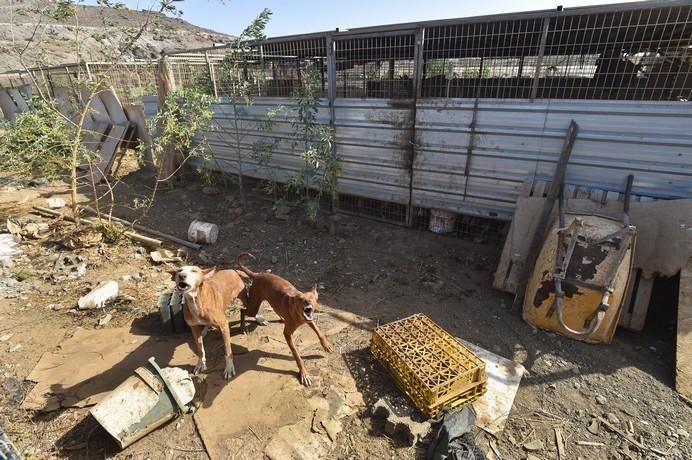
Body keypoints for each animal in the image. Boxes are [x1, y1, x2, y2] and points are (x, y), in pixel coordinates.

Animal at [237, 252, 334, 384]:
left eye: (312, 298)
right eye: (301, 299)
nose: (308, 302)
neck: (298, 315)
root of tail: (257, 274)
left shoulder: (310, 320)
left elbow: (320, 333)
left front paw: (326, 345)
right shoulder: (287, 334)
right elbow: (297, 355)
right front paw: (303, 373)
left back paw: (281, 318)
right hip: (253, 308)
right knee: (242, 310)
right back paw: (242, 327)